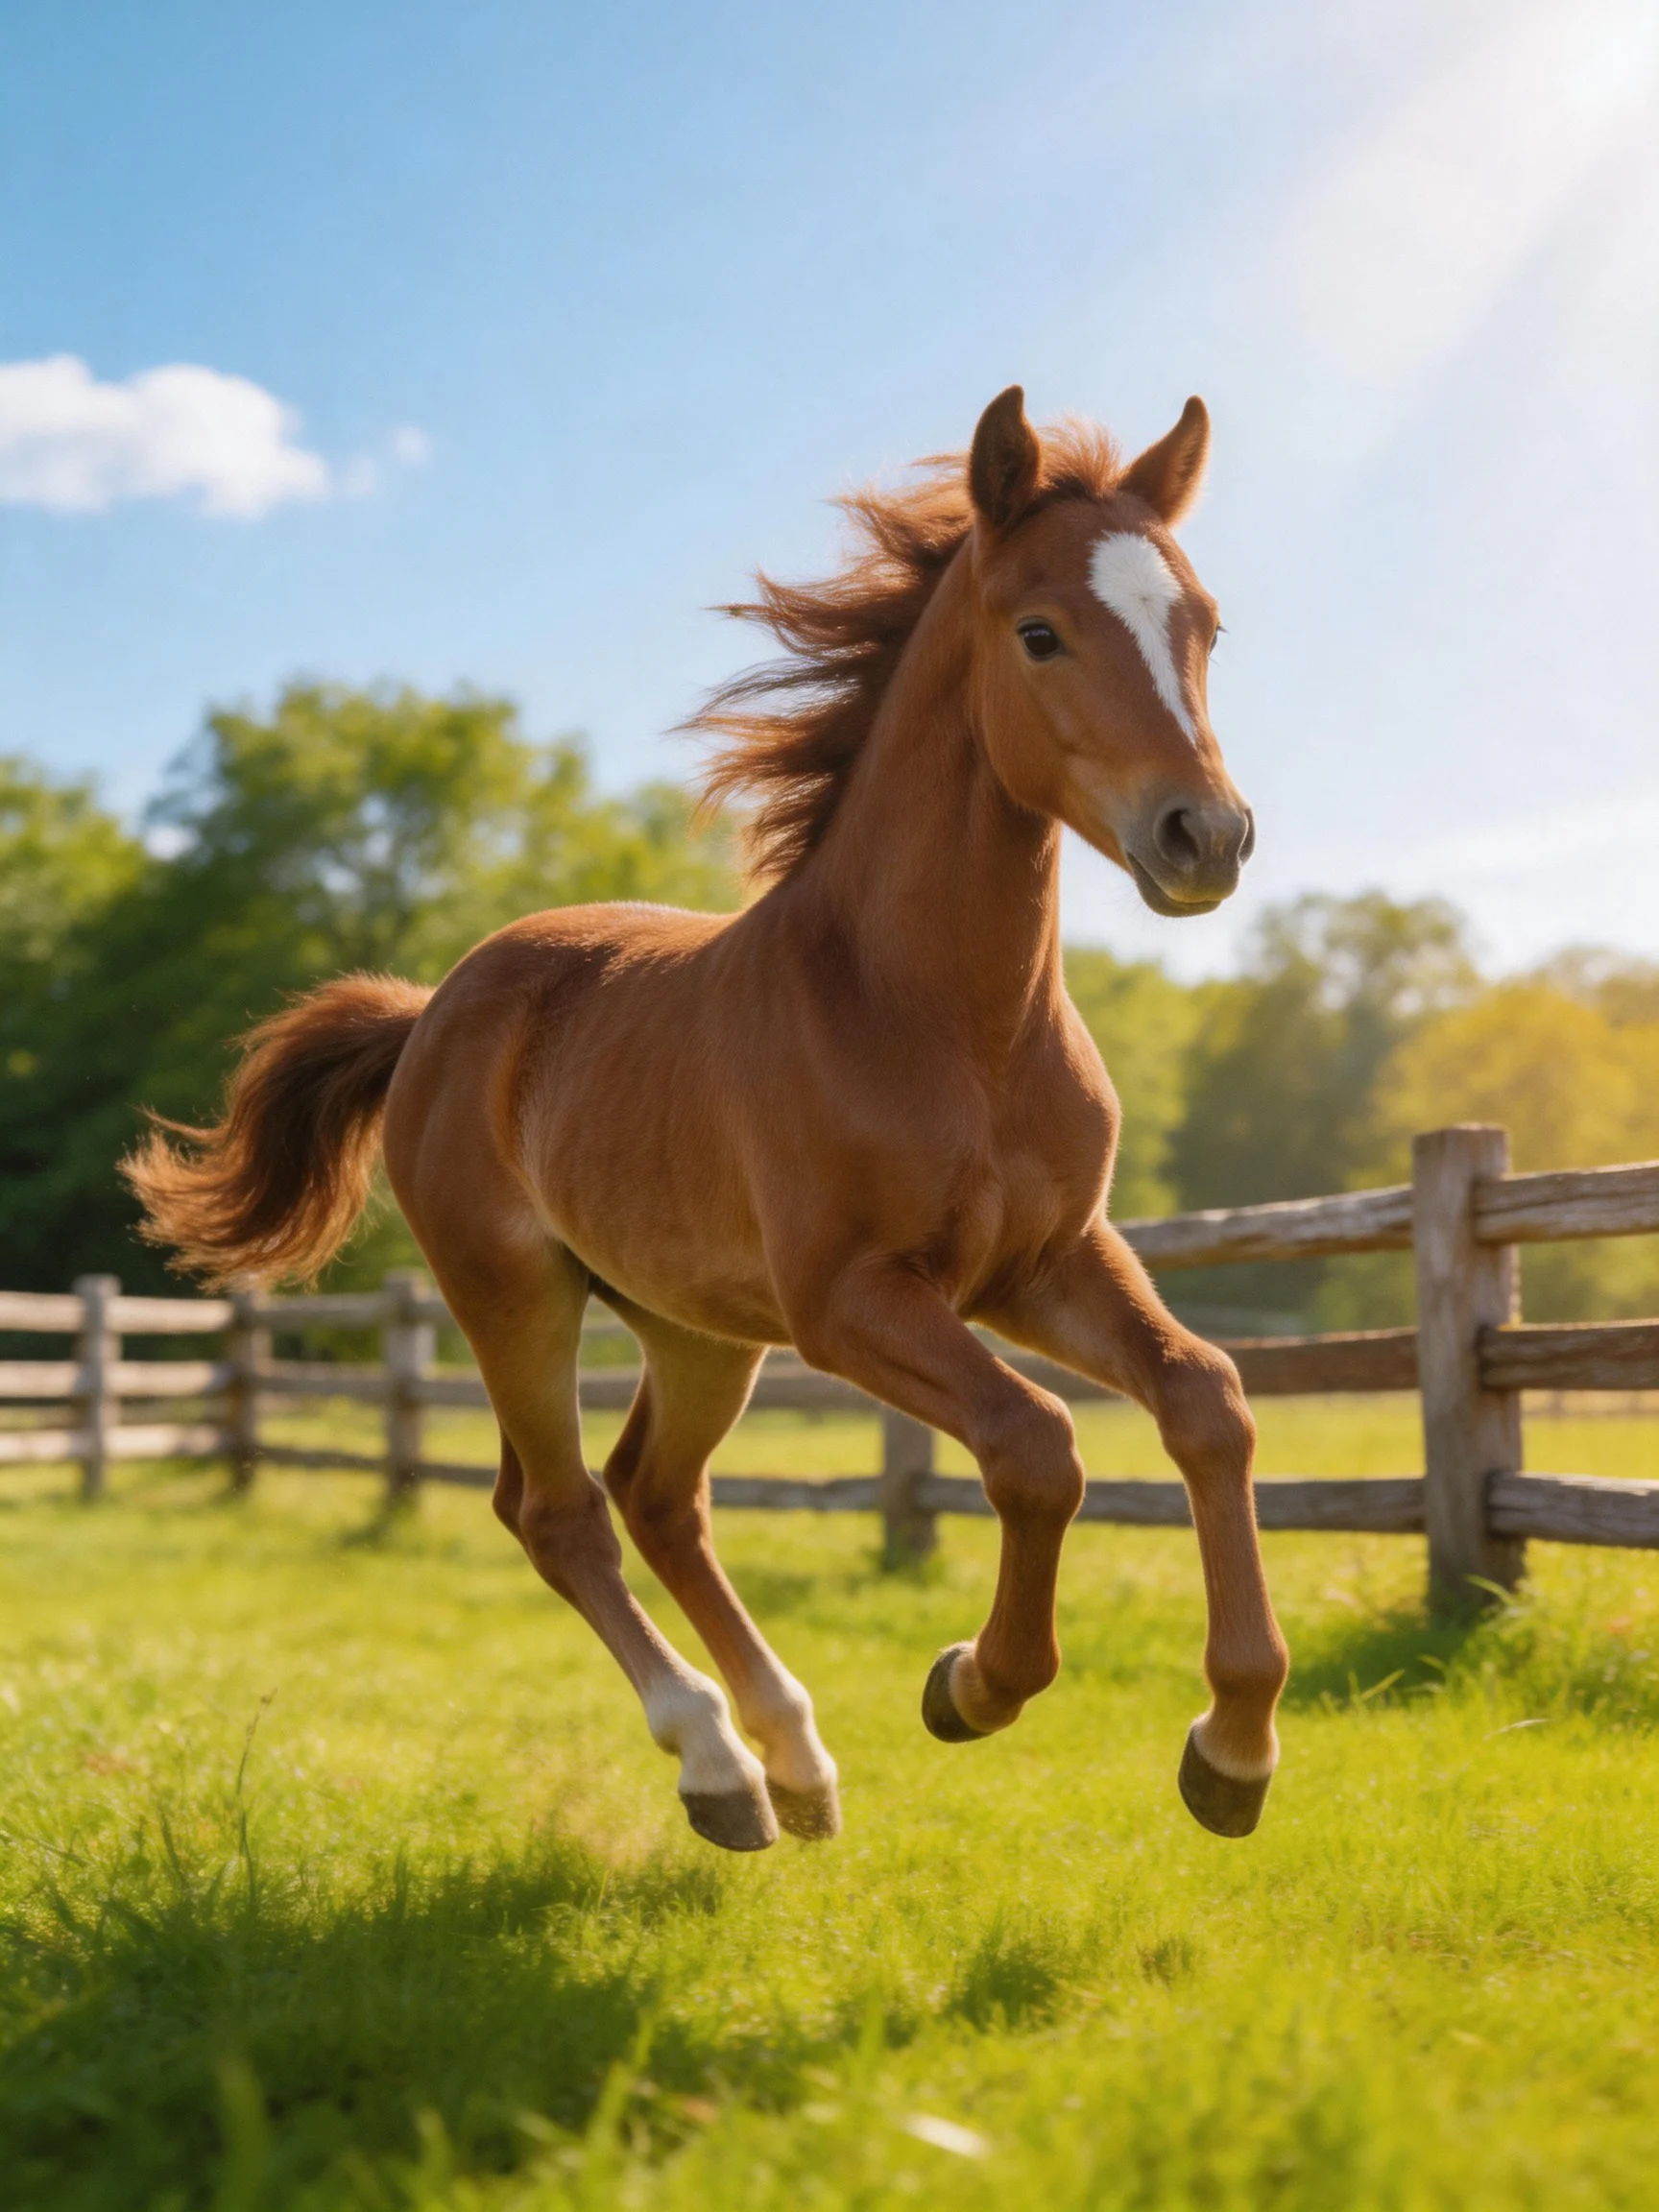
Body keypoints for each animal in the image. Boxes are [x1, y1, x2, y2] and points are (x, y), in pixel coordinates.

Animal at [127, 386, 1289, 1853]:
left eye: (1205, 625)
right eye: (1041, 631)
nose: (1206, 837)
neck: (937, 1018)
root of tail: (431, 1011)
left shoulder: (1044, 1263)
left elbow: (1208, 1400)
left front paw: (1233, 1750)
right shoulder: (850, 1300)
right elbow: (1036, 1446)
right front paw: (971, 1684)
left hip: (696, 1324)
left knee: (659, 1496)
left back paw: (793, 1760)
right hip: (514, 1292)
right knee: (561, 1510)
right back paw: (720, 1768)